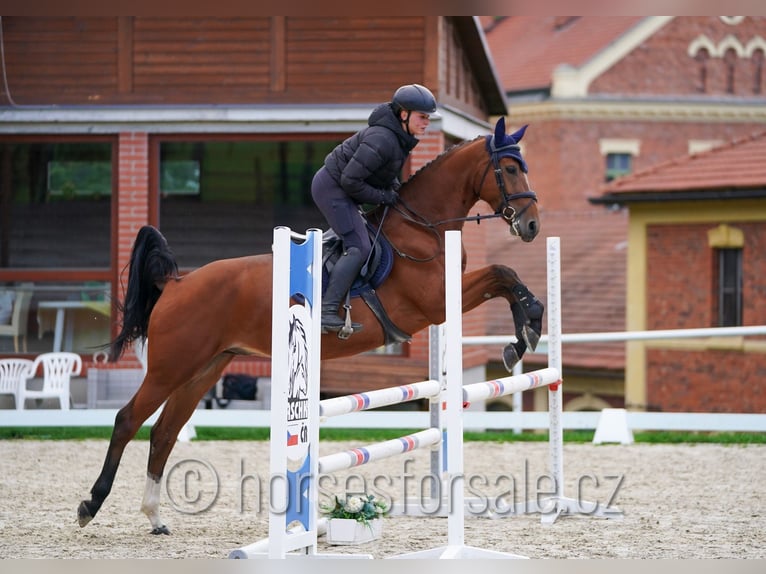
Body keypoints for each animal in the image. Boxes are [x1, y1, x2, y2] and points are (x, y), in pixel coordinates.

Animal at [77, 116, 545, 535]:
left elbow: (505, 278)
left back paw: (155, 517)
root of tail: (177, 283)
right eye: (508, 168)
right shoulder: (436, 303)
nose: (532, 225)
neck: (424, 228)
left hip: (204, 369)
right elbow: (502, 274)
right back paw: (90, 505)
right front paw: (525, 335)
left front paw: (524, 334)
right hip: (171, 367)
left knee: (164, 432)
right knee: (128, 420)